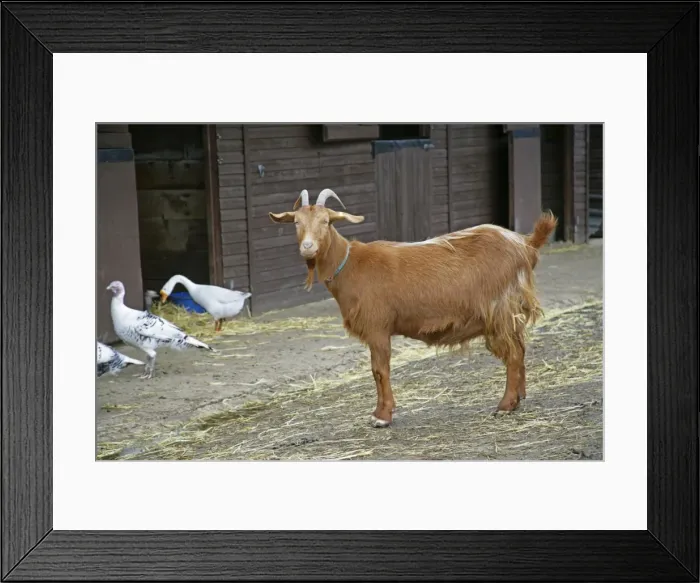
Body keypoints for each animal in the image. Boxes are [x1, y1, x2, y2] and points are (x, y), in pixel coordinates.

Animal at [269, 188, 558, 428]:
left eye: (326, 221)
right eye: (296, 222)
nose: (308, 247)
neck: (350, 265)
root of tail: (525, 244)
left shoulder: (377, 328)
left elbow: (379, 371)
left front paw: (382, 416)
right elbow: (376, 372)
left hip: (499, 310)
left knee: (513, 354)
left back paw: (506, 405)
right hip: (510, 312)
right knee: (520, 348)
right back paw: (520, 397)